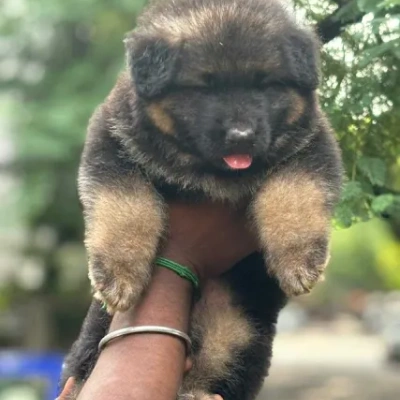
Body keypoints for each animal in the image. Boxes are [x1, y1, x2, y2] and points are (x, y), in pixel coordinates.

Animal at [61, 0, 342, 398]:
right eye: (204, 87)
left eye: (267, 85)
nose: (241, 136)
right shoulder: (112, 144)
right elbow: (125, 206)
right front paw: (120, 272)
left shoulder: (311, 145)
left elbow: (295, 193)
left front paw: (299, 258)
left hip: (236, 327)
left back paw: (196, 391)